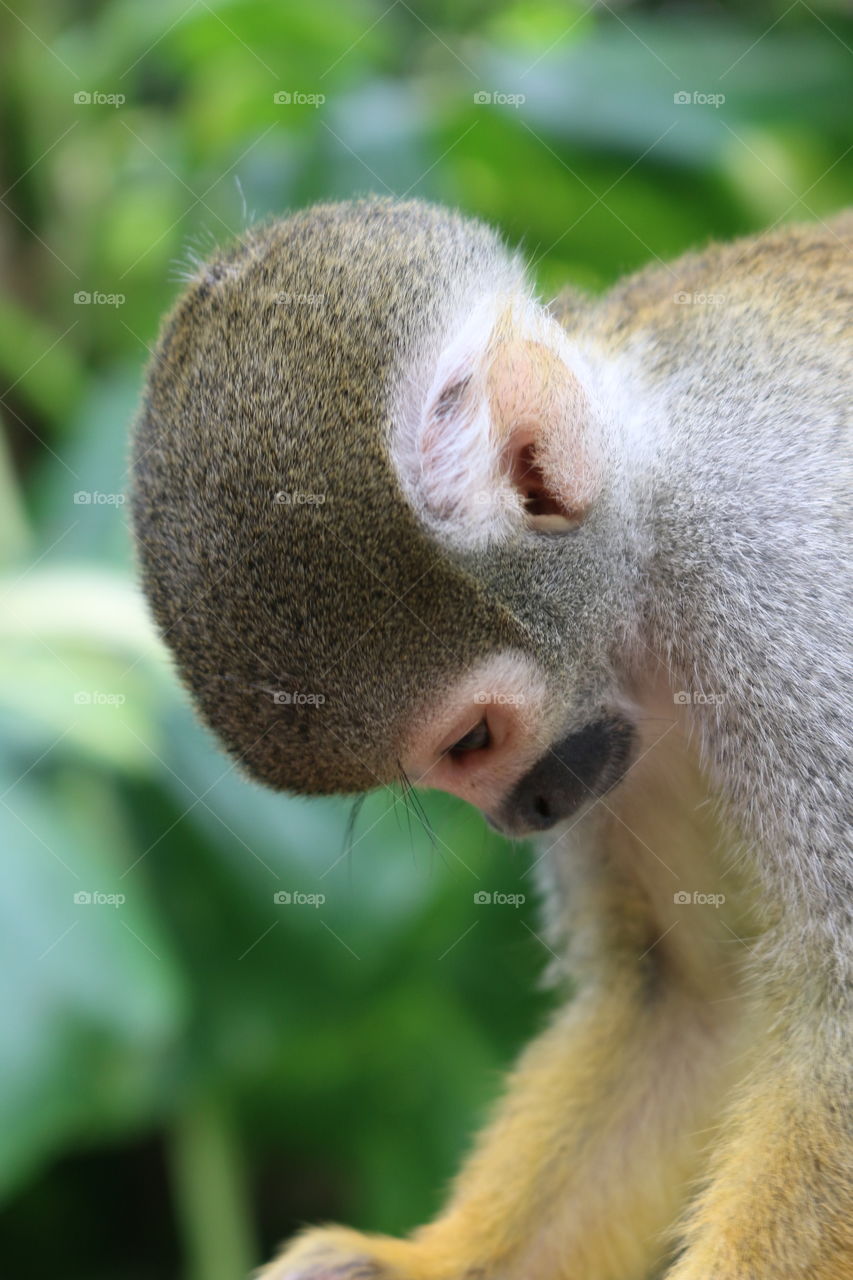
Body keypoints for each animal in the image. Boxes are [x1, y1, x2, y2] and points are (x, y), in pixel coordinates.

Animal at [131, 198, 852, 1280]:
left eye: (471, 737)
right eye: (441, 766)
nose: (528, 812)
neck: (652, 510)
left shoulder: (774, 589)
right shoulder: (622, 721)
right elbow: (686, 991)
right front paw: (416, 1263)